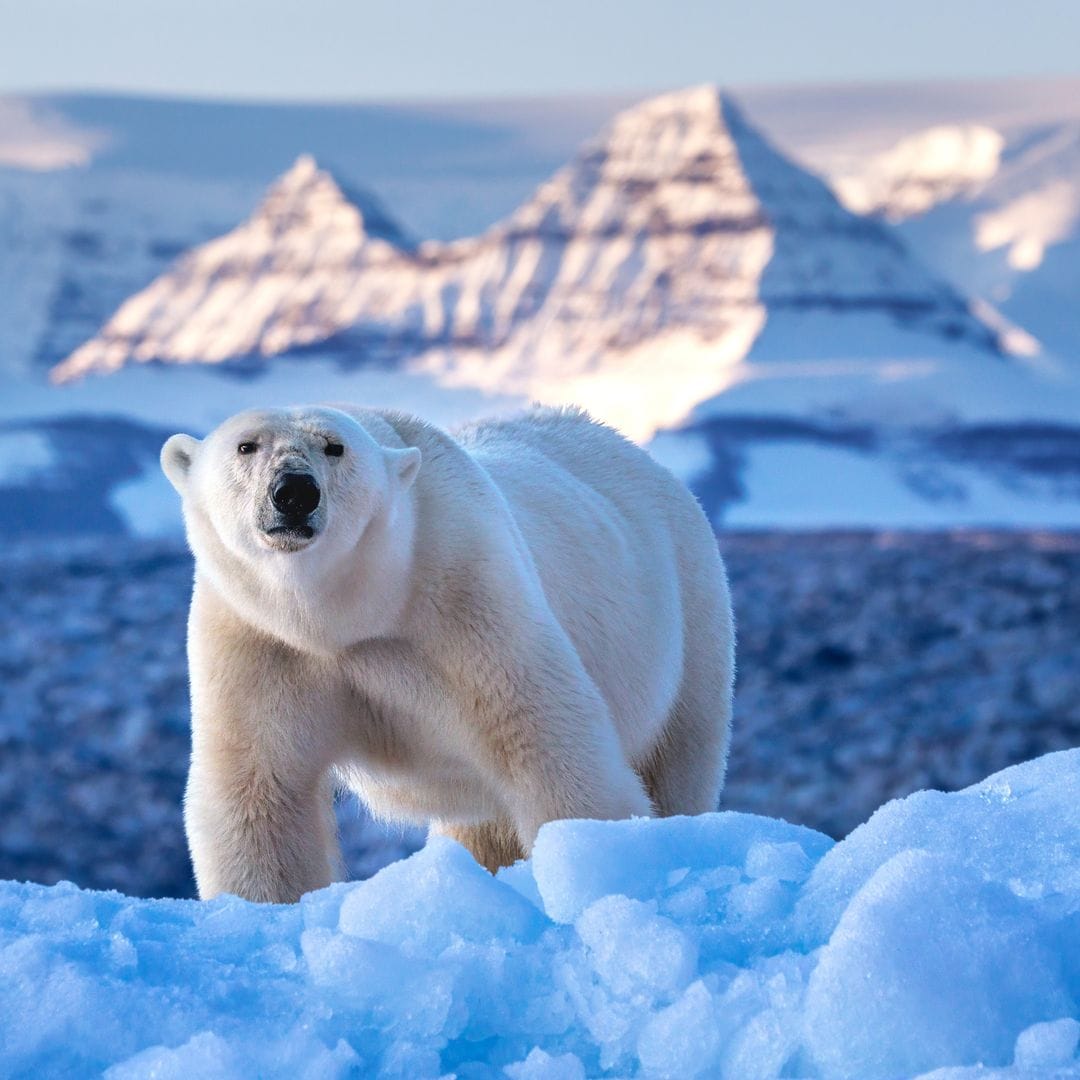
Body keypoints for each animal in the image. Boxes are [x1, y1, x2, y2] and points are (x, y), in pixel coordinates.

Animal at [161, 404, 735, 903]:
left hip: (688, 613)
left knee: (679, 754)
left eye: (334, 446)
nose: (294, 491)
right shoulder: (258, 639)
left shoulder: (465, 600)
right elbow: (259, 790)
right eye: (246, 445)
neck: (345, 617)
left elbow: (547, 742)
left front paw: (595, 856)